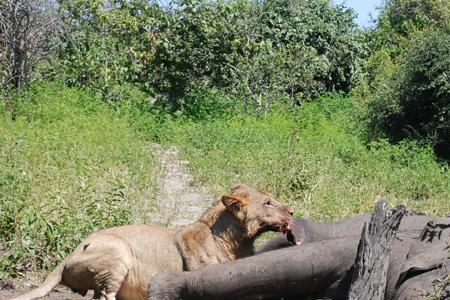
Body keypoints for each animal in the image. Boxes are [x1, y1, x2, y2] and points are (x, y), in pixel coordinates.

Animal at [10, 184, 296, 300]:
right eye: (268, 202)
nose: (292, 212)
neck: (236, 241)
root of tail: (68, 254)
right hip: (119, 250)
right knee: (105, 295)